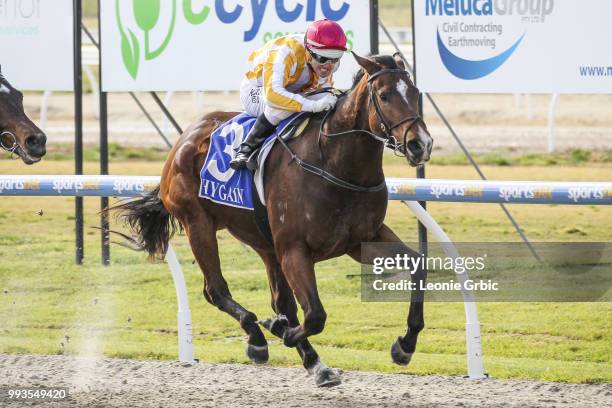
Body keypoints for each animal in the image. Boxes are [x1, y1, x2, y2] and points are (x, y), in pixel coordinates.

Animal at [112, 52, 432, 388]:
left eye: (415, 92)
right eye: (384, 96)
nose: (420, 144)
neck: (335, 164)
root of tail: (184, 138)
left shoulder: (362, 239)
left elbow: (418, 265)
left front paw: (405, 345)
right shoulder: (294, 248)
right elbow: (315, 315)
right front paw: (278, 330)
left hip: (263, 242)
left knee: (281, 302)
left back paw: (312, 360)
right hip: (198, 224)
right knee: (216, 290)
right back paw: (259, 338)